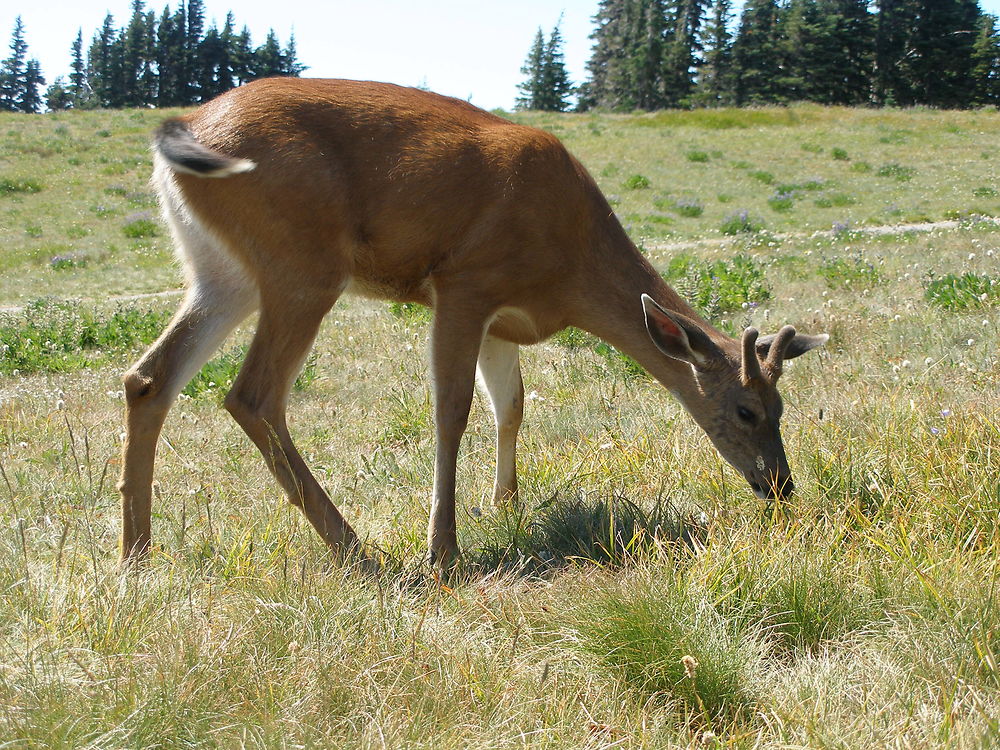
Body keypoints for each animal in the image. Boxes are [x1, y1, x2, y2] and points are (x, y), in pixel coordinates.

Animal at [121, 76, 828, 568]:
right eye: (746, 410)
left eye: (783, 408)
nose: (782, 487)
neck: (570, 268)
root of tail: (184, 127)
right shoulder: (465, 282)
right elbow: (452, 410)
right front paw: (445, 549)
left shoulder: (502, 321)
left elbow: (509, 406)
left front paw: (505, 505)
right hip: (303, 264)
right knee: (252, 395)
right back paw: (358, 551)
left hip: (222, 271)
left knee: (148, 377)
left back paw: (137, 552)